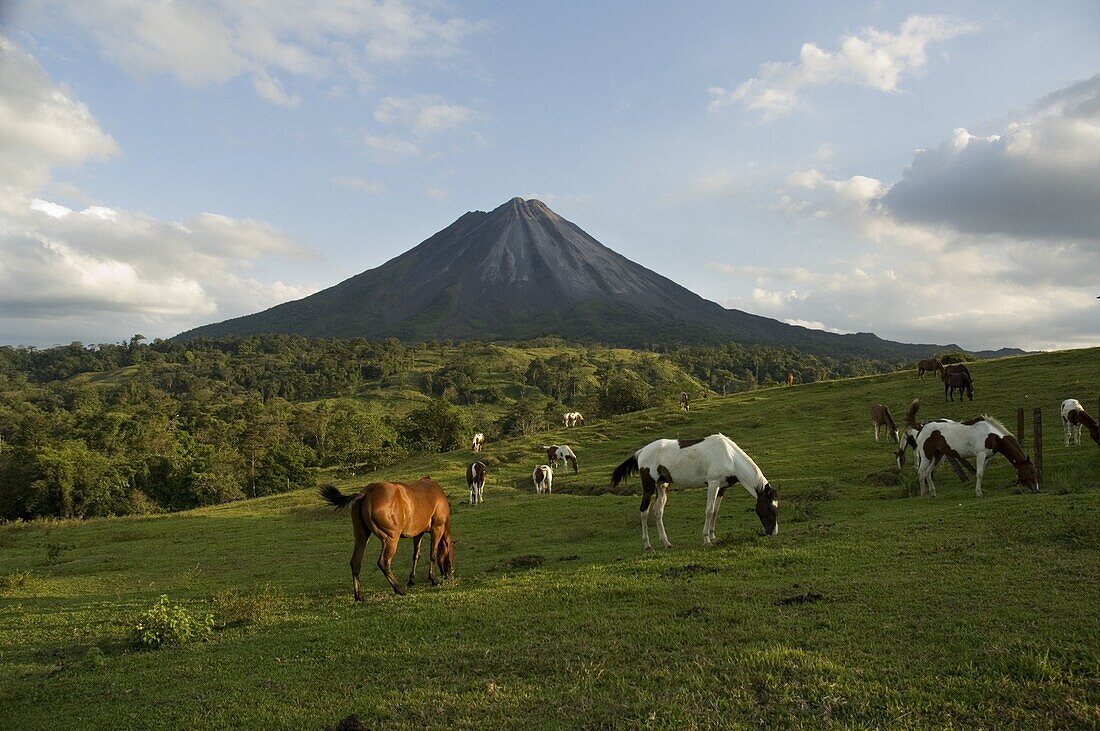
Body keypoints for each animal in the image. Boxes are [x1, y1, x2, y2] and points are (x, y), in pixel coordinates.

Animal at [316, 479, 453, 597]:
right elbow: (433, 554)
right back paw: (398, 589)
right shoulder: (437, 529)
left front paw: (411, 580)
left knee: (355, 562)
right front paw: (433, 579)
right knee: (383, 563)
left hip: (361, 537)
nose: (449, 574)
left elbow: (416, 556)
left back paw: (359, 596)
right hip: (390, 539)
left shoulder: (417, 533)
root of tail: (367, 493)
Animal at [607, 433, 778, 547]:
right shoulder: (713, 483)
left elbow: (715, 512)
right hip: (649, 487)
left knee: (657, 511)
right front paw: (706, 540)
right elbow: (709, 511)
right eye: (769, 508)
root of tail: (641, 452)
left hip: (662, 487)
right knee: (644, 511)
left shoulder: (722, 488)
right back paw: (647, 545)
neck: (729, 456)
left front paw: (713, 536)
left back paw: (666, 543)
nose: (773, 533)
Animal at [910, 411, 1038, 496]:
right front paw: (978, 492)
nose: (1036, 489)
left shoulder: (987, 457)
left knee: (927, 473)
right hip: (926, 456)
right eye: (1031, 471)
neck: (992, 435)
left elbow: (982, 473)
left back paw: (933, 493)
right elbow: (979, 473)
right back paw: (923, 494)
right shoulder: (980, 455)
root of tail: (922, 428)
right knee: (921, 473)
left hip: (937, 455)